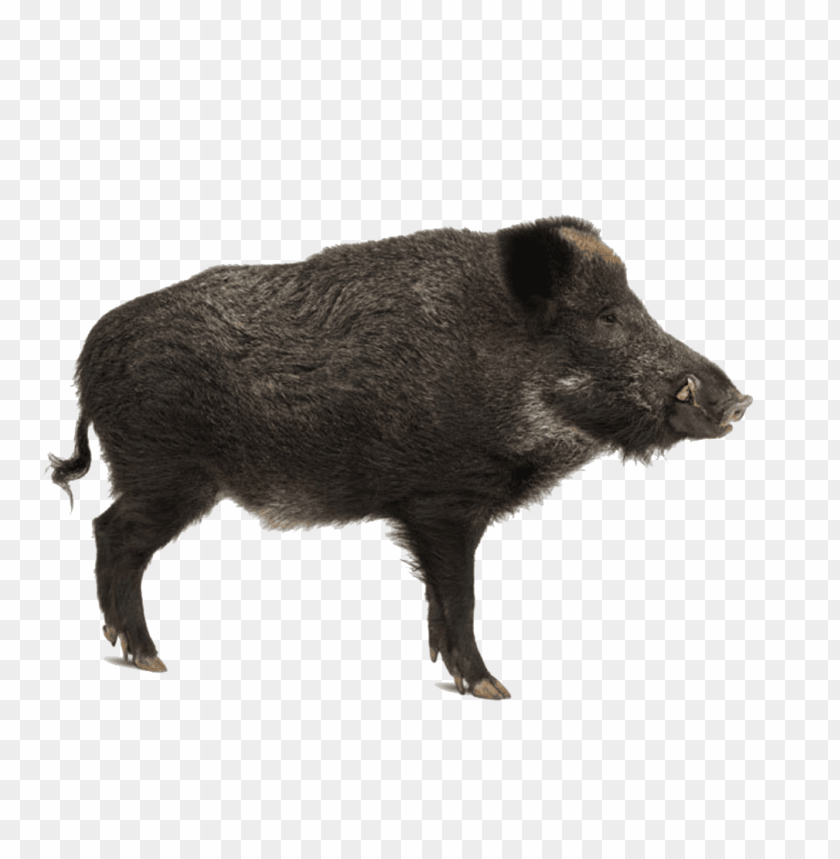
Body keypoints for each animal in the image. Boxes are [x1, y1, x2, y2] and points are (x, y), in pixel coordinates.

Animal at [47, 216, 752, 698]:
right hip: (167, 472)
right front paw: (492, 690)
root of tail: (89, 359)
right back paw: (150, 658)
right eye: (607, 316)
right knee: (111, 533)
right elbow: (461, 595)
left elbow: (441, 600)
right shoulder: (443, 503)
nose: (739, 400)